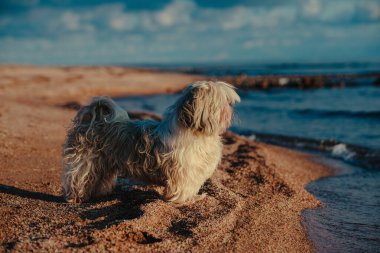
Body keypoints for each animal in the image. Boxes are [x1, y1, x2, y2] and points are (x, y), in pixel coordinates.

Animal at [62, 81, 240, 204]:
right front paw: (186, 200)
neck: (197, 132)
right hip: (85, 161)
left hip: (103, 164)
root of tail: (93, 120)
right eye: (222, 102)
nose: (230, 109)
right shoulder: (184, 171)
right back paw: (75, 197)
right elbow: (183, 188)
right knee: (77, 177)